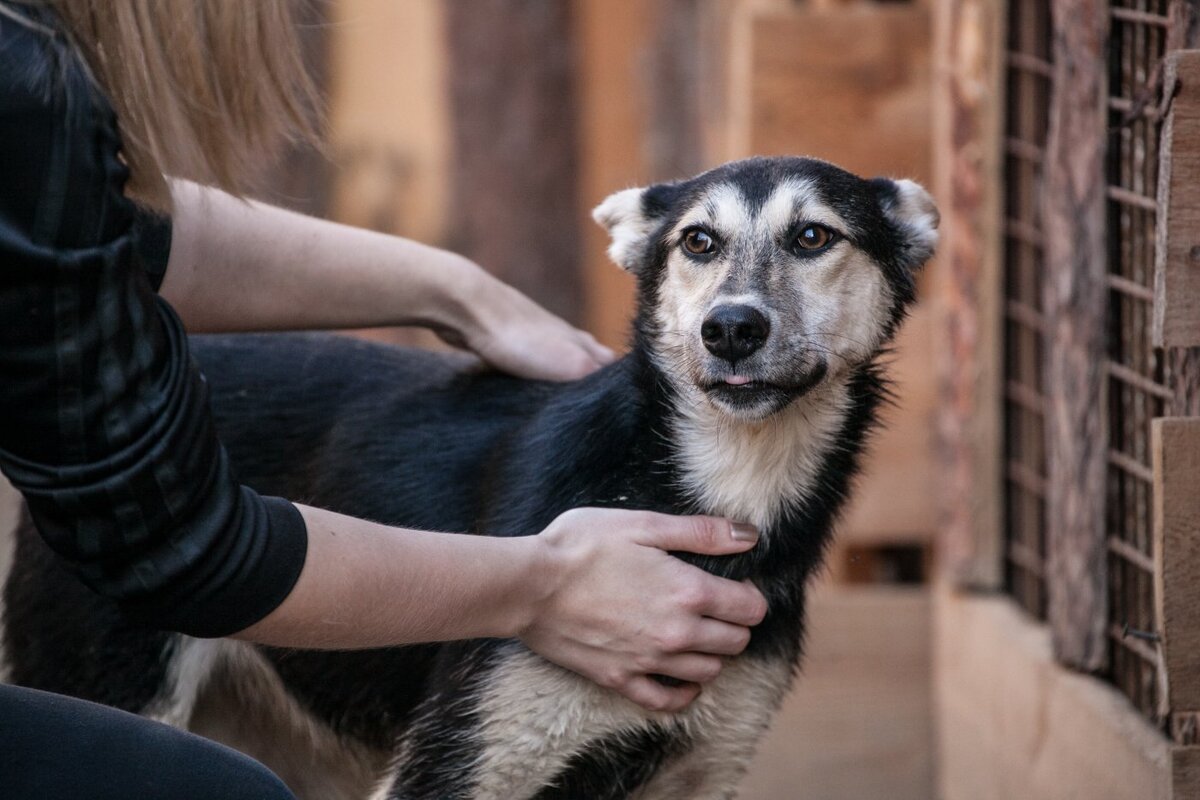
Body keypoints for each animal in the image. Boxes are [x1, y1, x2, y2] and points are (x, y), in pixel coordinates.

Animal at [0, 158, 936, 800]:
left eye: (813, 237)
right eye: (697, 242)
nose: (731, 329)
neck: (707, 481)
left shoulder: (699, 767)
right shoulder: (464, 762)